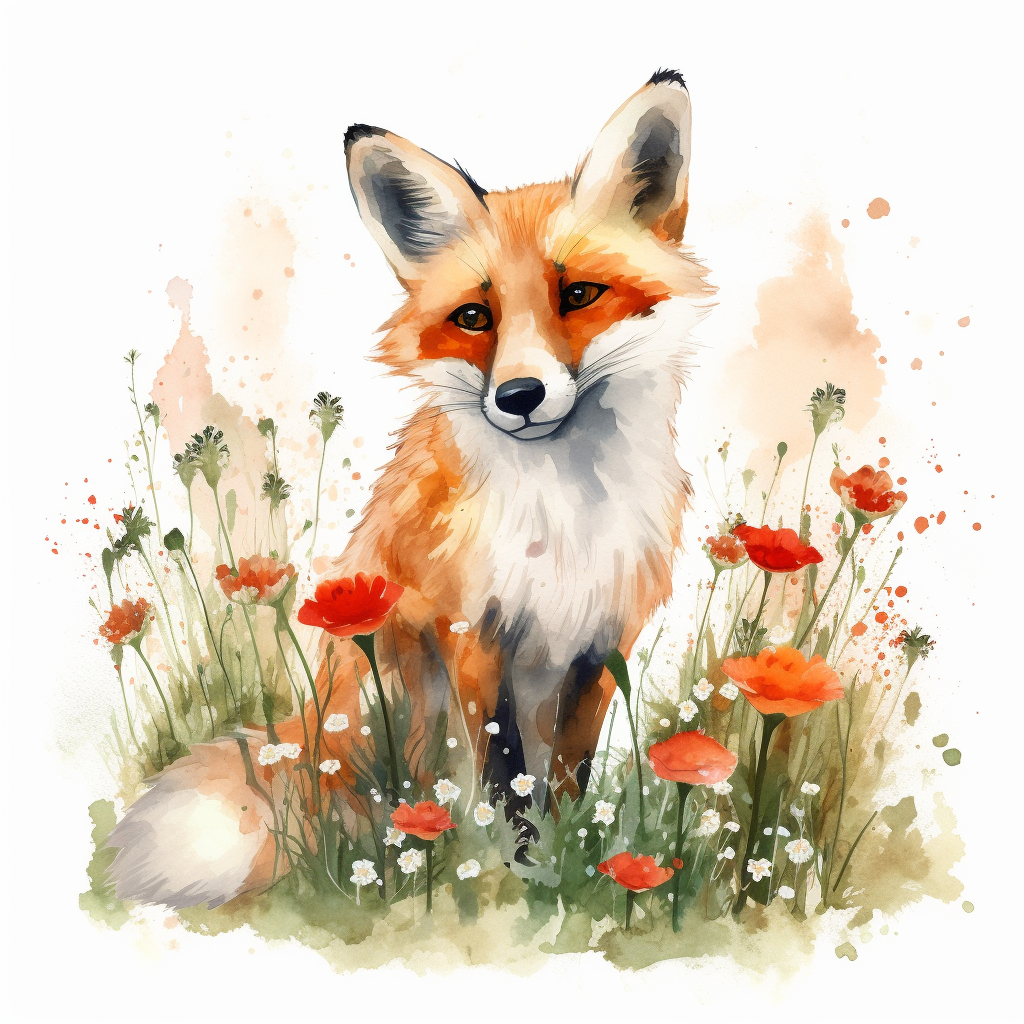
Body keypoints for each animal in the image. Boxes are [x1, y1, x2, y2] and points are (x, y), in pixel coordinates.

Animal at [107, 69, 714, 910]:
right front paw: (521, 877)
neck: (562, 516)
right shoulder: (471, 634)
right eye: (475, 316)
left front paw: (575, 868)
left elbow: (570, 780)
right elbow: (506, 778)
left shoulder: (599, 645)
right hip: (390, 687)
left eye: (581, 295)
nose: (519, 396)